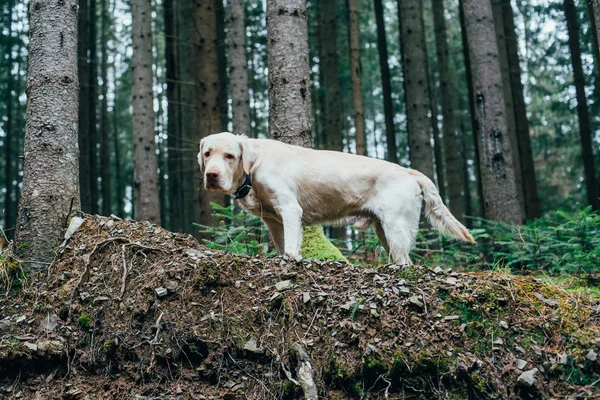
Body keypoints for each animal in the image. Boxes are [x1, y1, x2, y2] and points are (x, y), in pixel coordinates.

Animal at [199, 131, 476, 266]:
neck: (254, 169)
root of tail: (408, 171)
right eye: (207, 153)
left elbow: (291, 246)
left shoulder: (290, 209)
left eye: (230, 156)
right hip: (384, 230)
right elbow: (282, 245)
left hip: (396, 227)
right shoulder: (273, 221)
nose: (211, 175)